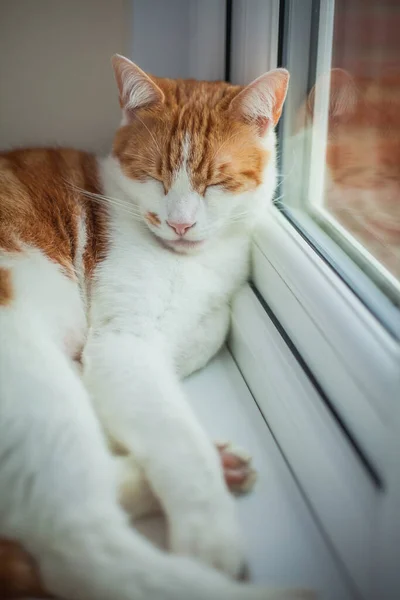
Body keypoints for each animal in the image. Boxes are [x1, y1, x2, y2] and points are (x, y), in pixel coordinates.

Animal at [0, 52, 310, 600]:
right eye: (155, 177)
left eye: (216, 182)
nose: (181, 224)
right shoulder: (123, 344)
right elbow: (176, 439)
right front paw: (211, 539)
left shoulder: (190, 324)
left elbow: (209, 330)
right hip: (31, 383)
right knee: (87, 549)